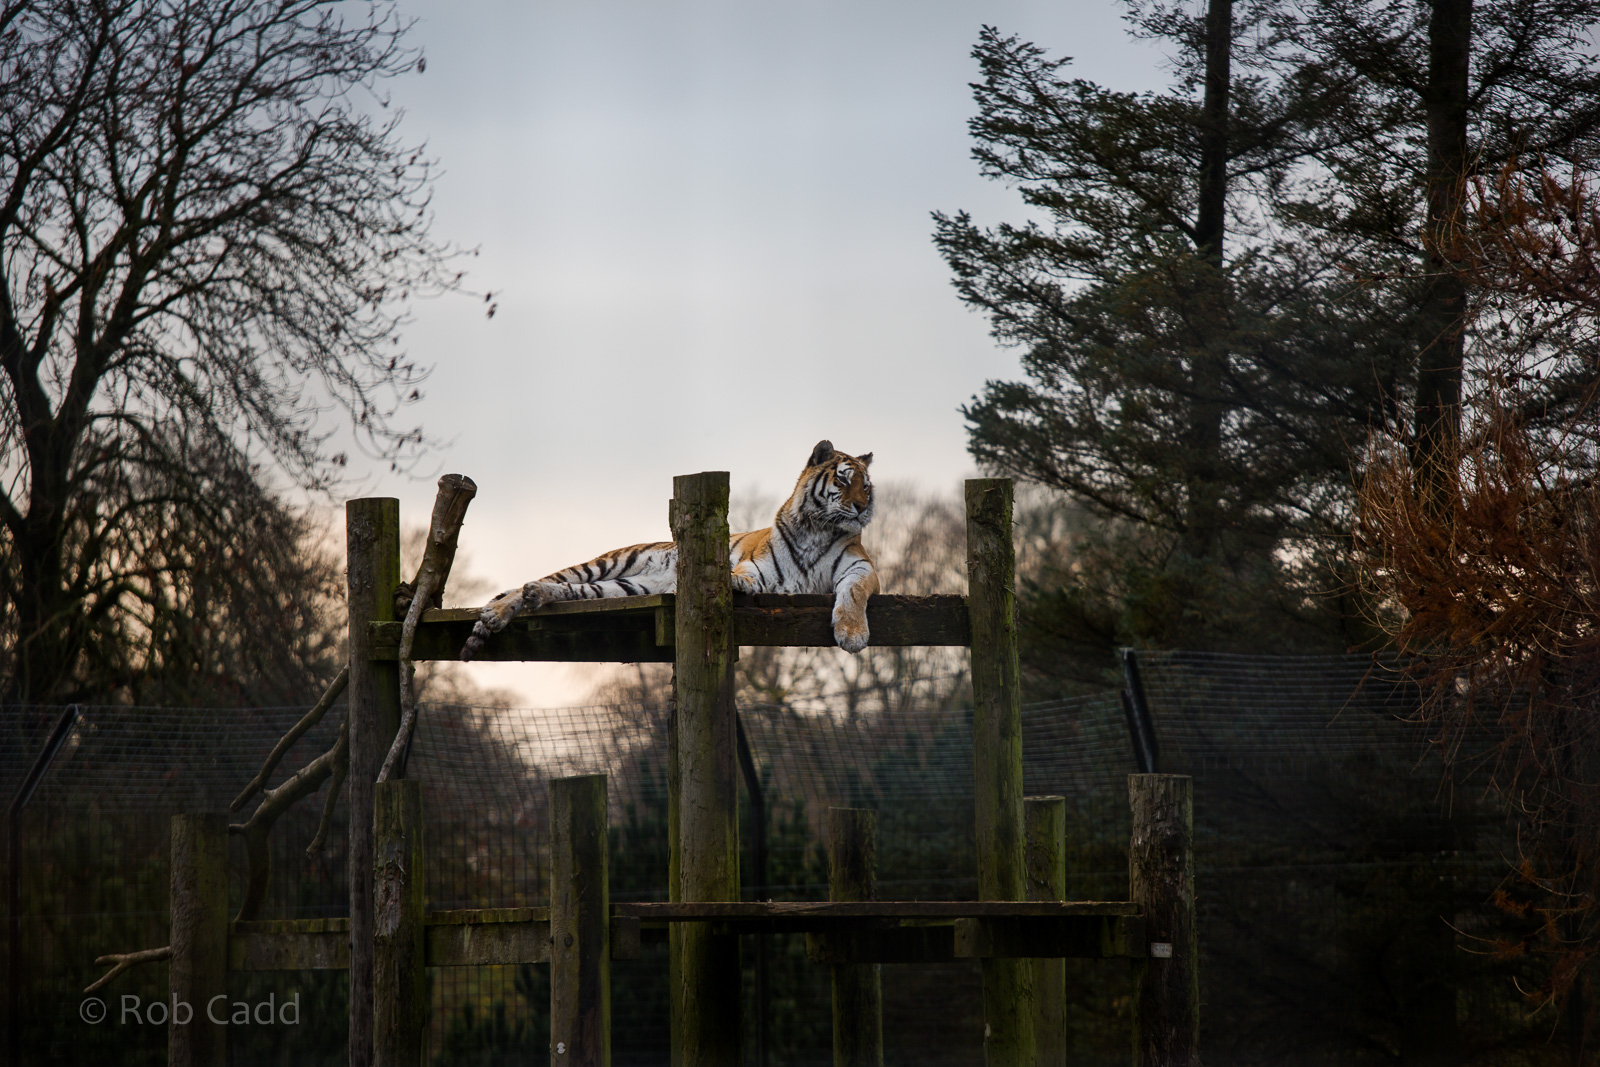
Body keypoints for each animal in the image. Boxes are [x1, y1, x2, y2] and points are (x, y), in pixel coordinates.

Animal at [460, 440, 879, 660]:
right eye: (844, 482)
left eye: (867, 486)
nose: (862, 507)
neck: (817, 528)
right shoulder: (757, 566)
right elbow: (742, 574)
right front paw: (732, 582)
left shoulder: (861, 569)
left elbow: (852, 592)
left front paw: (852, 633)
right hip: (604, 565)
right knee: (541, 581)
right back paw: (498, 611)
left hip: (624, 587)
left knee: (559, 590)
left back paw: (535, 596)